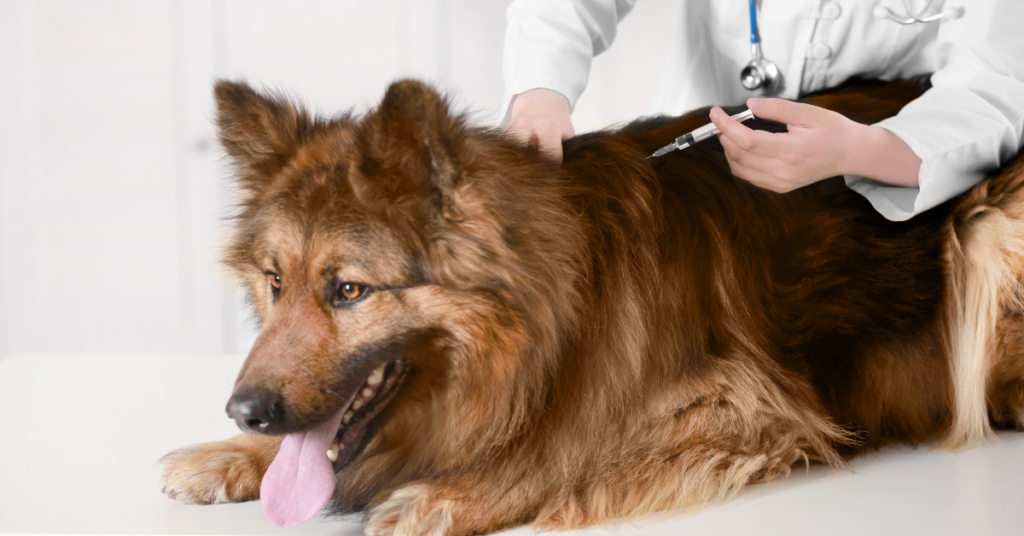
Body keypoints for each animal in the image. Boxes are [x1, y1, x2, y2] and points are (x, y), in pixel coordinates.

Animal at [157, 76, 1024, 536]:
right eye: (275, 283)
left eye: (349, 290)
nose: (246, 411)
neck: (551, 316)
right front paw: (231, 456)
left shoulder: (744, 408)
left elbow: (565, 449)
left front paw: (446, 495)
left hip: (985, 228)